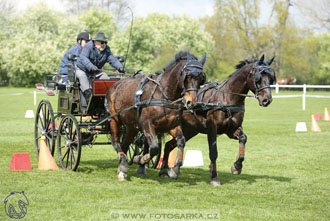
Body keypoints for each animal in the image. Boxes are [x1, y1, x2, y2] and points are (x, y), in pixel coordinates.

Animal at [160, 54, 276, 186]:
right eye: (258, 77)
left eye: (270, 78)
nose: (267, 100)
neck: (228, 98)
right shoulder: (212, 129)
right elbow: (213, 152)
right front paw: (214, 177)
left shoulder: (232, 129)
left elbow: (243, 138)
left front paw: (237, 166)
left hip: (190, 130)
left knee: (169, 145)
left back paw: (164, 171)